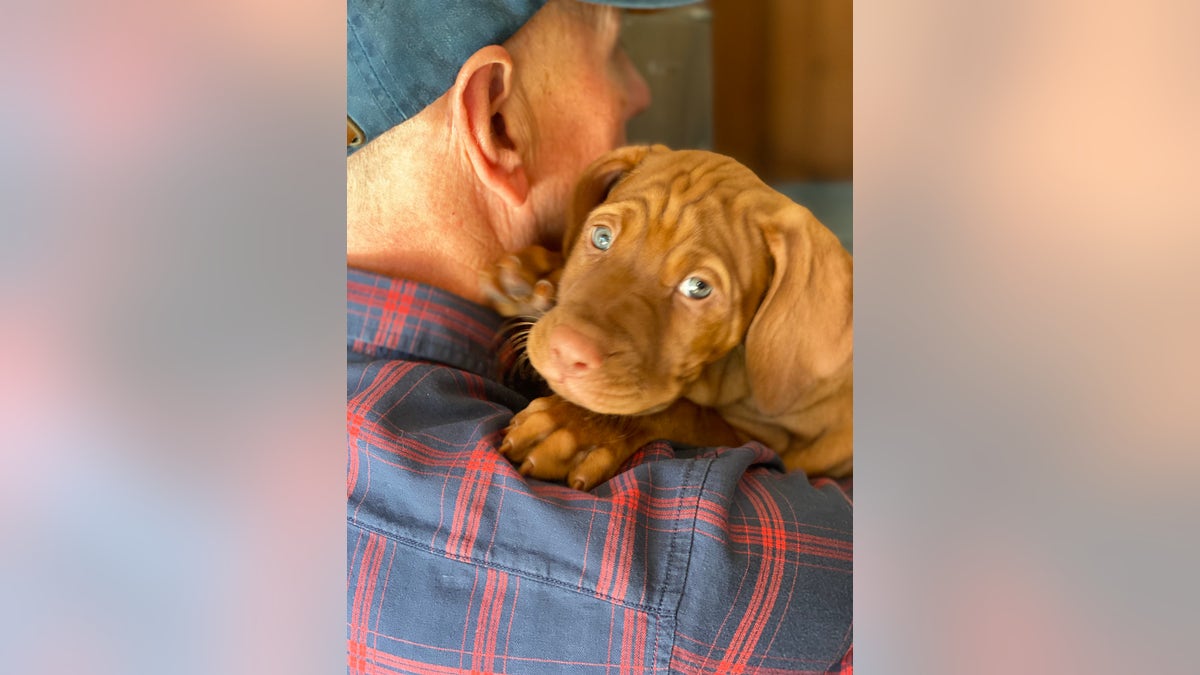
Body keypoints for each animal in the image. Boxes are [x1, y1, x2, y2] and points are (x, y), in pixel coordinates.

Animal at [480, 142, 854, 487]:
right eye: (601, 237)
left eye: (698, 287)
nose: (567, 351)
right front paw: (538, 276)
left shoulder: (770, 442)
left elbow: (684, 413)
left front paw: (576, 426)